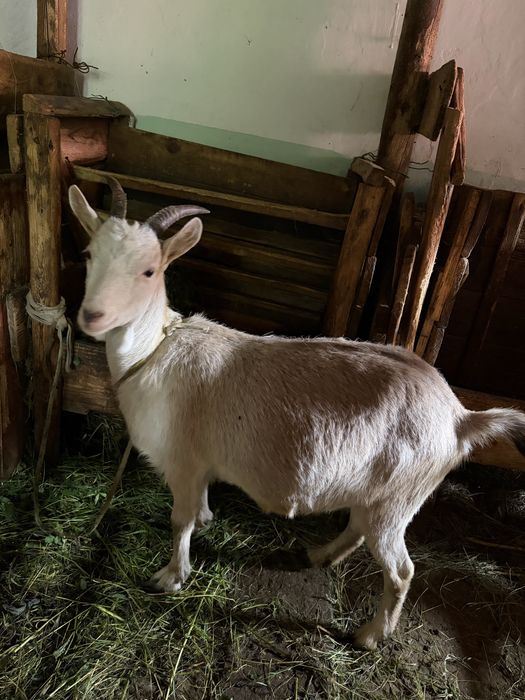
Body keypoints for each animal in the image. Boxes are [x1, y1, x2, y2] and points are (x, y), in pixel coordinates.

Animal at [69, 178, 525, 649]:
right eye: (88, 254)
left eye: (149, 271)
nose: (92, 315)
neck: (155, 350)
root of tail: (460, 418)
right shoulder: (200, 462)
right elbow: (199, 506)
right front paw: (207, 520)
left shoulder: (183, 460)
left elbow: (179, 521)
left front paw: (171, 576)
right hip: (377, 492)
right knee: (358, 527)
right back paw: (320, 554)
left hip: (399, 498)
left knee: (400, 569)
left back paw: (370, 635)